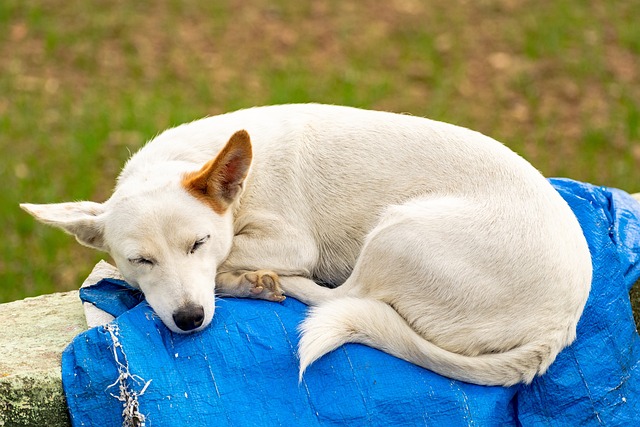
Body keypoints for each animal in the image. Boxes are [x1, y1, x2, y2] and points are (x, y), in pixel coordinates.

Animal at [20, 104, 592, 388]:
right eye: (141, 260)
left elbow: (234, 256)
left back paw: (259, 285)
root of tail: (558, 328)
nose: (188, 320)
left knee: (342, 296)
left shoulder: (288, 243)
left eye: (199, 242)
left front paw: (237, 276)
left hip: (397, 231)